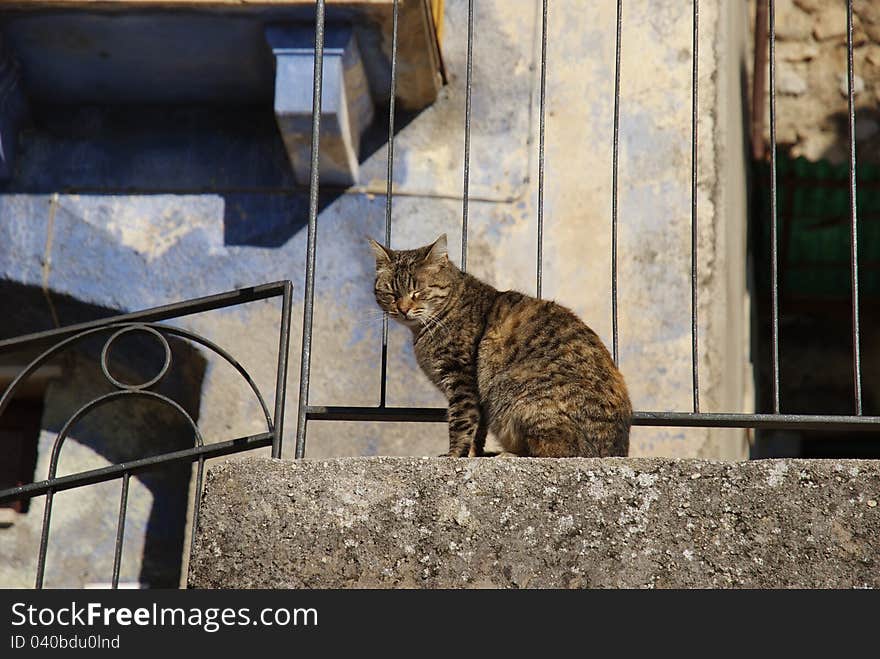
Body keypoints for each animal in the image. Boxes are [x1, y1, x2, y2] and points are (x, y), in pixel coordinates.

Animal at [368, 235, 628, 456]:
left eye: (418, 292)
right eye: (391, 293)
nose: (402, 309)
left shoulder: (462, 379)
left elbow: (461, 422)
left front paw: (454, 456)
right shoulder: (477, 398)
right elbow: (477, 431)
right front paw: (472, 455)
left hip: (522, 396)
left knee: (557, 450)